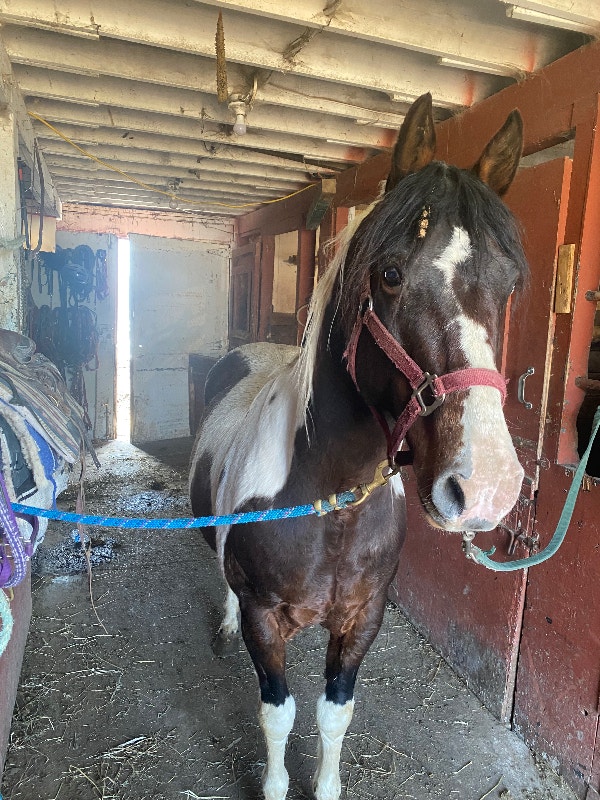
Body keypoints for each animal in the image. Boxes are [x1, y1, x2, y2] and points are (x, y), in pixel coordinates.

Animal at [189, 92, 528, 800]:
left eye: (510, 284)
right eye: (392, 273)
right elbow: (278, 713)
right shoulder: (267, 619)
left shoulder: (361, 618)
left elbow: (333, 715)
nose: (484, 486)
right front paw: (274, 785)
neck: (332, 500)